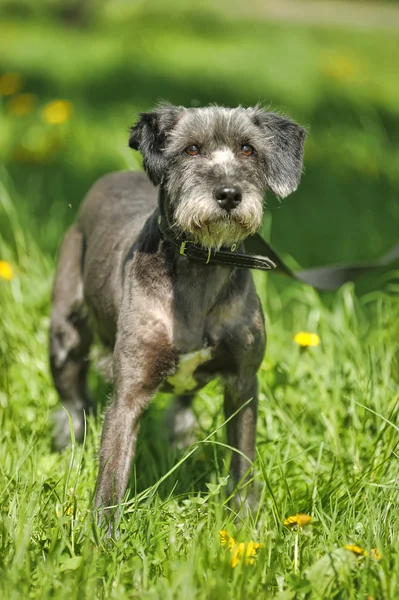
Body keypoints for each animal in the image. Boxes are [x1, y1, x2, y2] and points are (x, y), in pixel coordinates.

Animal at [50, 103, 306, 520]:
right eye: (191, 149)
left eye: (248, 149)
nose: (229, 194)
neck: (201, 262)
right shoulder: (129, 393)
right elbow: (111, 477)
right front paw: (100, 535)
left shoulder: (242, 384)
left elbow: (243, 463)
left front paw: (244, 522)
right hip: (65, 340)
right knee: (73, 406)